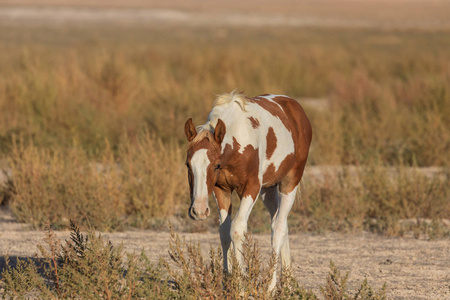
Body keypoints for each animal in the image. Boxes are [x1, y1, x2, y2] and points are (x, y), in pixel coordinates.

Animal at [185, 92, 312, 290]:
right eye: (187, 164)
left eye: (216, 165)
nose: (198, 211)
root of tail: (296, 108)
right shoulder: (221, 189)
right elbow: (224, 232)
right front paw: (227, 282)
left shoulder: (251, 187)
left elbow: (237, 229)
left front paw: (240, 284)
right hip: (268, 191)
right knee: (281, 223)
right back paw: (288, 283)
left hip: (290, 182)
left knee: (278, 226)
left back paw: (270, 287)